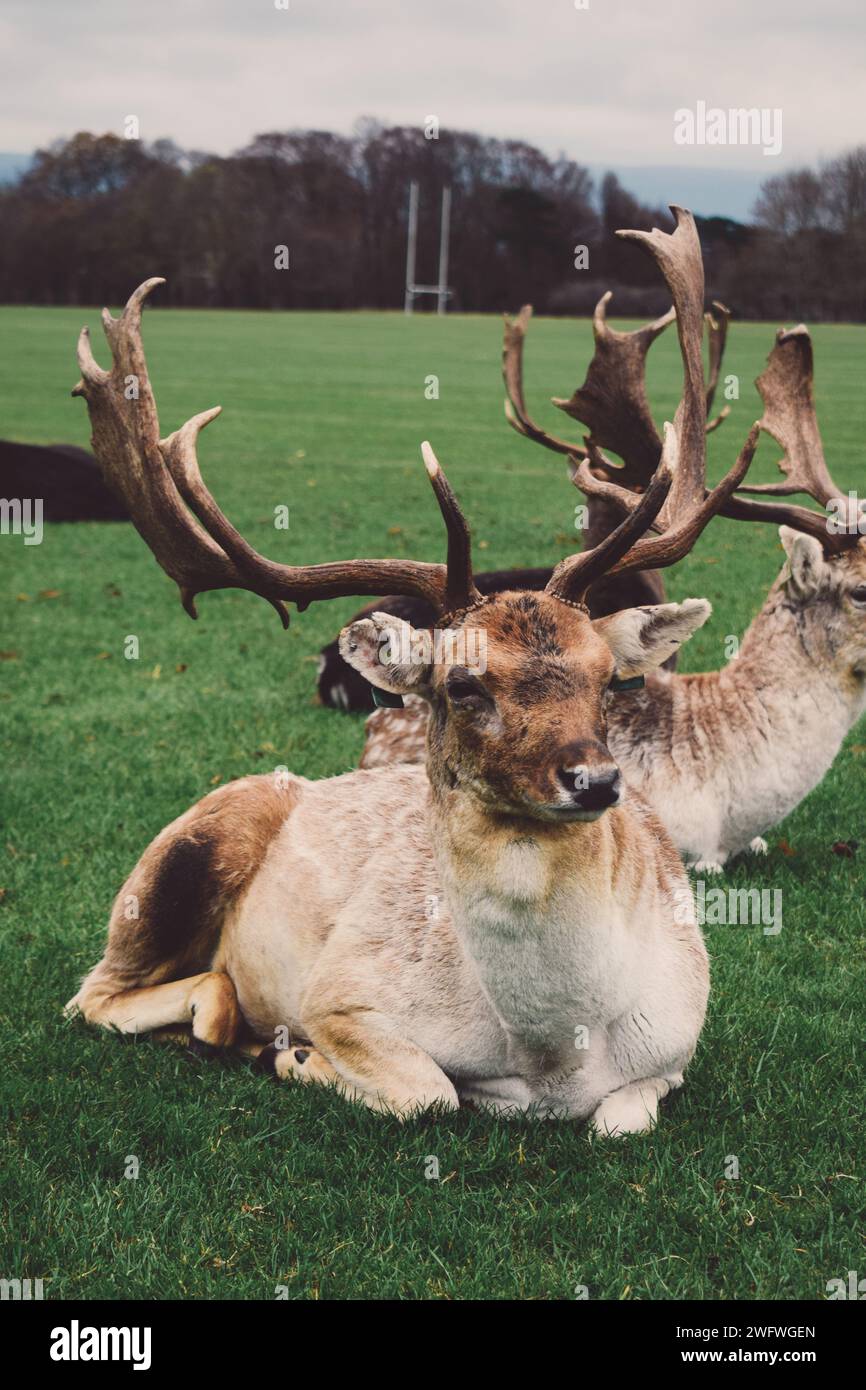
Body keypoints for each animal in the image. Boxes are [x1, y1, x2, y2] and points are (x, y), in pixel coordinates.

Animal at [66, 205, 756, 1128]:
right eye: (461, 685)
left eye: (610, 678)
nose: (596, 780)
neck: (556, 1057)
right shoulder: (342, 992)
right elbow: (430, 1094)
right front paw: (300, 1057)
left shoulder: (677, 1045)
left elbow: (622, 1120)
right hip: (177, 857)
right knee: (95, 993)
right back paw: (240, 1028)